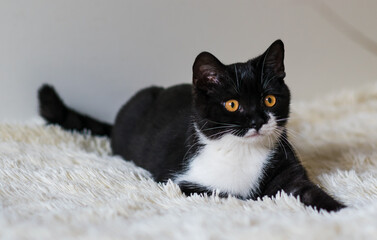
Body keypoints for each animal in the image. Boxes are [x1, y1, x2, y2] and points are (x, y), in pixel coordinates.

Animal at [37, 39, 344, 212]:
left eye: (269, 99)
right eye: (232, 104)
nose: (257, 121)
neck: (243, 153)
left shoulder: (286, 167)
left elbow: (305, 191)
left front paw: (344, 211)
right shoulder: (182, 182)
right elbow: (233, 195)